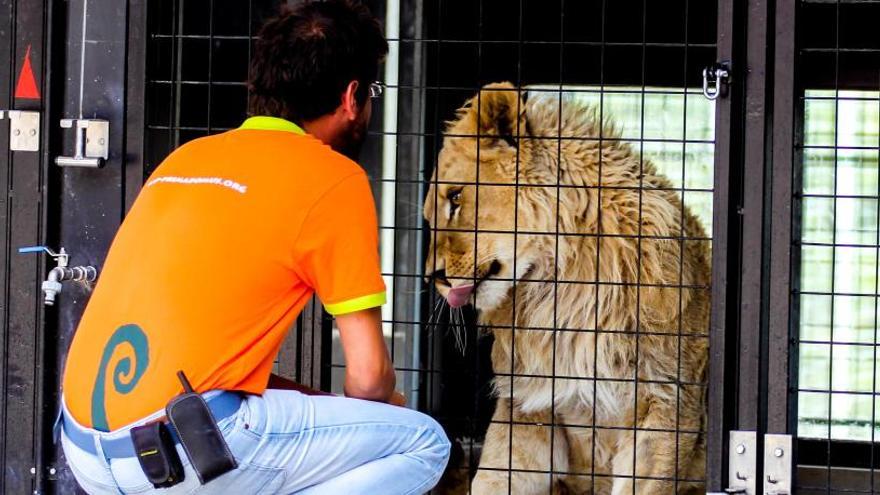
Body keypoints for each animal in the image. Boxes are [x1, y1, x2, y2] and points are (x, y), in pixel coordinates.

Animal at [422, 83, 712, 494]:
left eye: (457, 197)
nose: (433, 276)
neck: (558, 291)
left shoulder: (665, 405)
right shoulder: (528, 409)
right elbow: (494, 478)